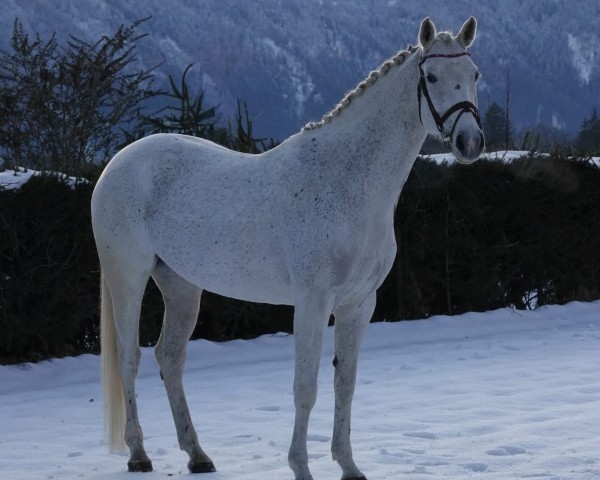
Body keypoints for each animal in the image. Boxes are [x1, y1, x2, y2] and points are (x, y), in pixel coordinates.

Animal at [92, 15, 482, 480]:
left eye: (474, 74)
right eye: (432, 76)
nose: (470, 143)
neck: (346, 181)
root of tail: (118, 163)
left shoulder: (359, 303)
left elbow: (345, 384)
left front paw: (349, 465)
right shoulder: (313, 302)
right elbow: (305, 388)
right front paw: (301, 467)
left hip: (181, 284)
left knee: (169, 357)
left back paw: (197, 454)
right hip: (128, 277)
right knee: (129, 358)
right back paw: (138, 454)